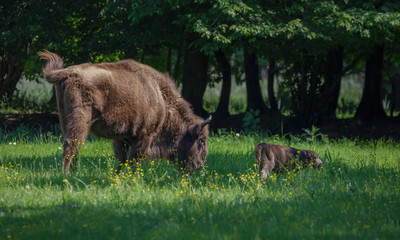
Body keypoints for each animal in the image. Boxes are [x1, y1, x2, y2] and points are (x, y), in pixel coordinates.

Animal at [38, 50, 211, 174]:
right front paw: (135, 179)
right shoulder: (144, 135)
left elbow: (122, 159)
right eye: (201, 140)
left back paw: (75, 174)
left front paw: (118, 177)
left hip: (65, 120)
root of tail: (69, 72)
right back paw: (67, 176)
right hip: (80, 122)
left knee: (75, 148)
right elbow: (135, 160)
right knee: (71, 146)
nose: (201, 165)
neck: (160, 97)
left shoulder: (122, 138)